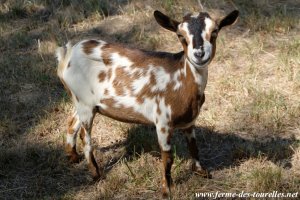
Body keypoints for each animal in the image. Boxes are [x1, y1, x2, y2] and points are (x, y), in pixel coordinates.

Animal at [55, 9, 239, 197]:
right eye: (180, 35)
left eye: (215, 31)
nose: (199, 54)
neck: (181, 77)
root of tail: (68, 55)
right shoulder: (163, 121)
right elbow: (168, 157)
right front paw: (166, 190)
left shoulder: (190, 121)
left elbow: (194, 146)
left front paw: (202, 172)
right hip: (85, 104)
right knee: (85, 136)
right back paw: (96, 174)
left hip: (81, 100)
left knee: (72, 123)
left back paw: (73, 157)